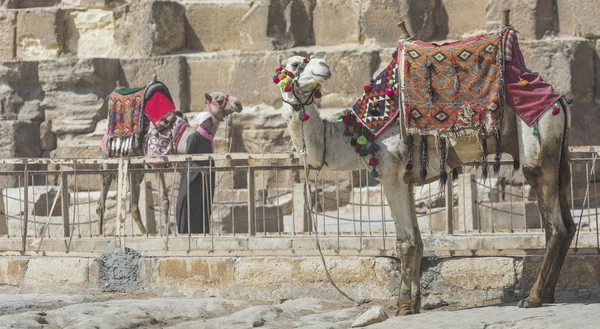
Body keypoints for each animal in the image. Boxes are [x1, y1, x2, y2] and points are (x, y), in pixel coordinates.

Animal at [96, 88, 241, 234]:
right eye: (219, 100)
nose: (238, 103)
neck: (179, 136)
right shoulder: (156, 163)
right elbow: (165, 201)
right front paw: (167, 233)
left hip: (135, 168)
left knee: (133, 204)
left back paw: (145, 233)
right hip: (107, 159)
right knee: (102, 197)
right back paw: (101, 233)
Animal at [274, 18, 576, 316]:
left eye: (304, 61)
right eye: (294, 64)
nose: (323, 66)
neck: (357, 135)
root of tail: (559, 100)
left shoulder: (391, 172)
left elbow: (405, 241)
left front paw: (402, 307)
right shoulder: (406, 178)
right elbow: (418, 241)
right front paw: (415, 304)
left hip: (538, 144)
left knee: (555, 226)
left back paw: (533, 297)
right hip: (560, 155)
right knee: (569, 223)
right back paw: (548, 293)